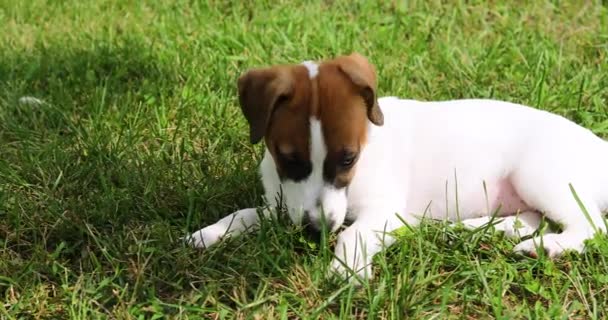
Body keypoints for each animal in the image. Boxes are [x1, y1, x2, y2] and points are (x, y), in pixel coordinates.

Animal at [188, 53, 604, 282]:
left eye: (348, 159)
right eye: (289, 159)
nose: (314, 232)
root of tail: (600, 146)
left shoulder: (384, 212)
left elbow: (351, 233)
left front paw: (346, 272)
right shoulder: (285, 205)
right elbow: (245, 213)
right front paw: (209, 233)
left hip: (540, 176)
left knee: (591, 226)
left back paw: (549, 247)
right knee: (528, 219)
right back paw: (469, 231)